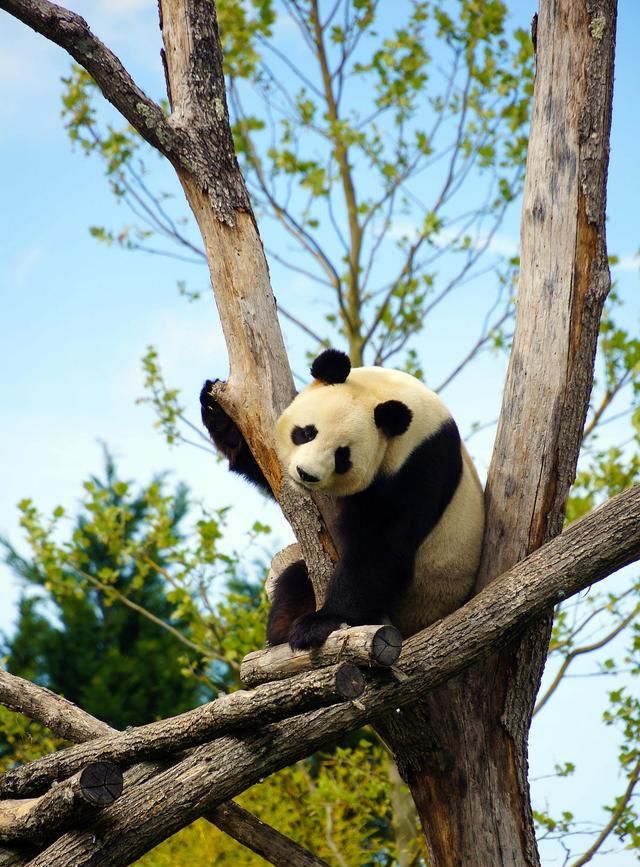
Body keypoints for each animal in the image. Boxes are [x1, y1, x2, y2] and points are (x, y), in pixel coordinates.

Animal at [200, 350, 484, 648]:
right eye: (307, 432)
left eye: (342, 456)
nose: (306, 474)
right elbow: (259, 459)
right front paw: (216, 409)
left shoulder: (416, 466)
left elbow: (379, 548)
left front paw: (319, 623)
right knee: (297, 578)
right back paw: (282, 628)